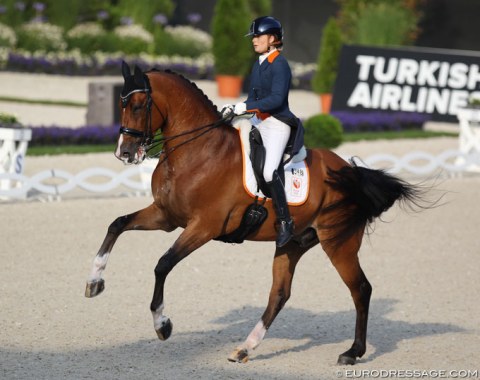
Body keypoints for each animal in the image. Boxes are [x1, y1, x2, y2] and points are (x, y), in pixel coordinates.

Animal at [86, 63, 424, 366]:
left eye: (138, 105)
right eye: (121, 104)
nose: (124, 152)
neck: (198, 151)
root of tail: (350, 170)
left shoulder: (203, 227)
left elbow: (162, 265)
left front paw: (163, 325)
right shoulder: (165, 217)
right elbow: (117, 224)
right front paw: (94, 282)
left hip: (338, 242)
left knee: (360, 289)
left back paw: (352, 352)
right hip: (293, 244)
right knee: (280, 294)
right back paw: (244, 349)